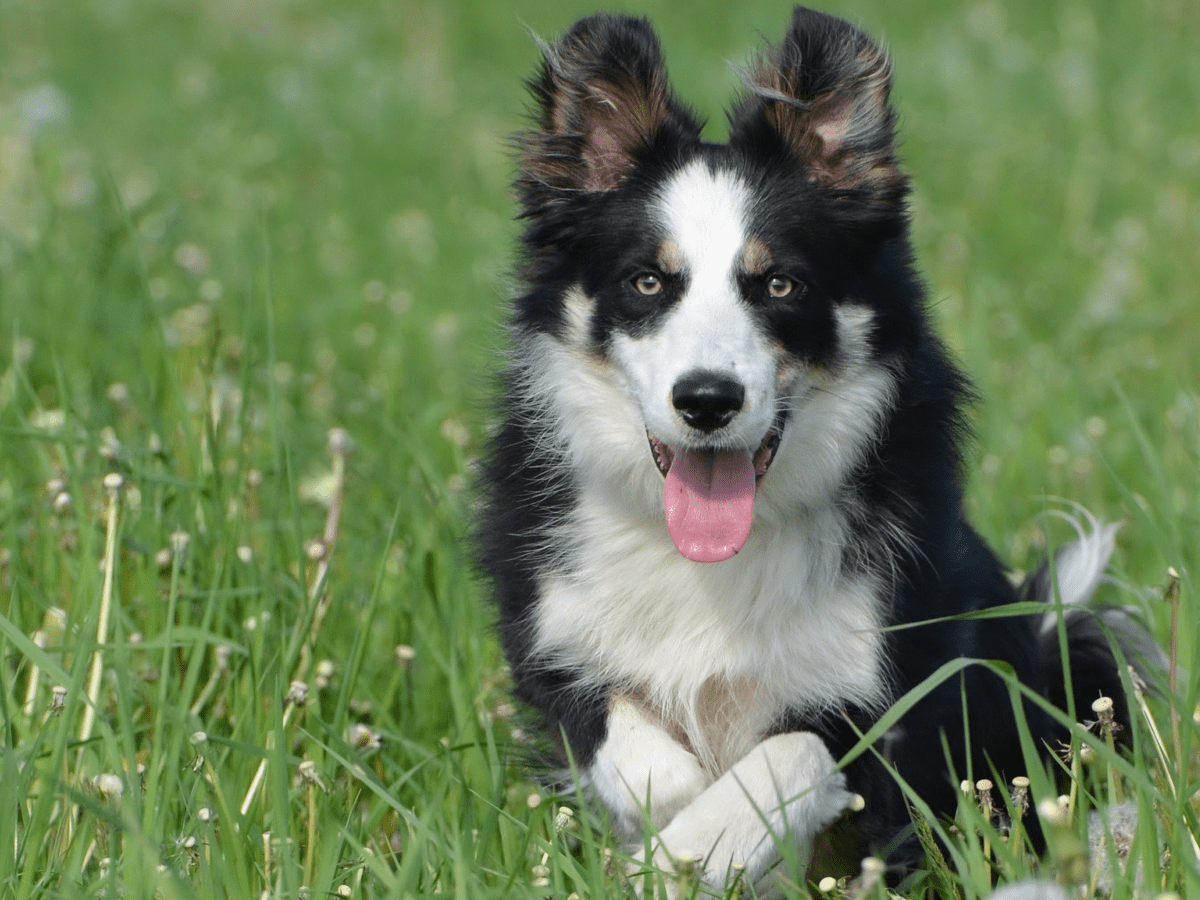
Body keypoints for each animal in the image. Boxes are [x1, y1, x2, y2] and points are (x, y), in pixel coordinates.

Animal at [477, 7, 1152, 897]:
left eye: (780, 284)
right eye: (648, 282)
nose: (707, 401)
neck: (713, 562)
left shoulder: (888, 678)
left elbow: (789, 753)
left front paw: (703, 842)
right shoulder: (557, 637)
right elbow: (637, 749)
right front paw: (672, 828)